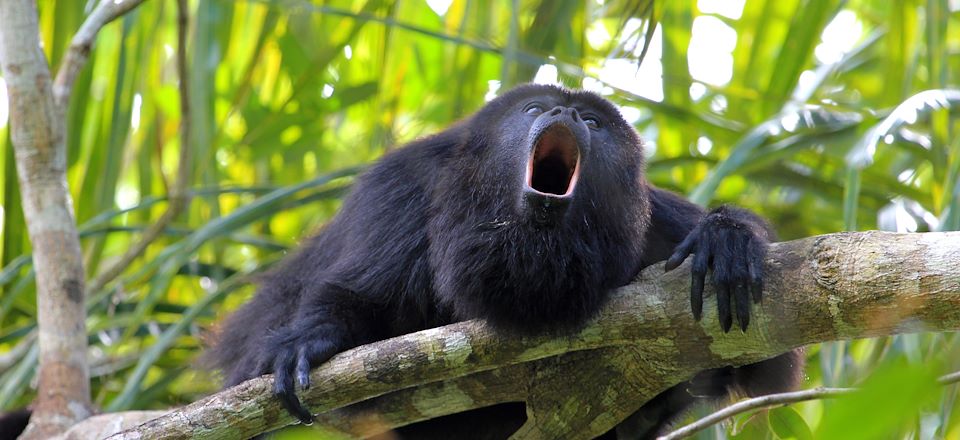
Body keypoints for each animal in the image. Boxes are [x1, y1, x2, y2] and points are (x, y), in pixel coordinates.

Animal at [210, 84, 804, 438]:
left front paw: (726, 238)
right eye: (536, 110)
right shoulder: (401, 187)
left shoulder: (657, 223)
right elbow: (359, 296)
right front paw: (310, 339)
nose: (566, 112)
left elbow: (766, 364)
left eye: (593, 121)